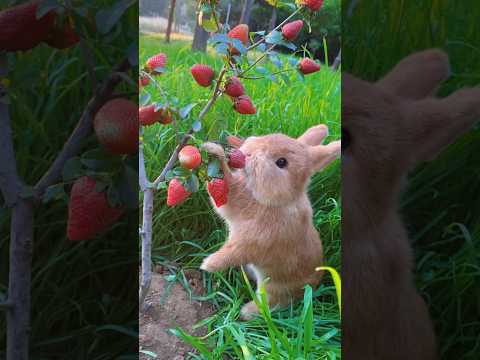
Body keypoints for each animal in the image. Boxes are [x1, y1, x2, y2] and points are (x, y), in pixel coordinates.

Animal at [199, 125, 342, 320]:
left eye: (281, 162)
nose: (248, 152)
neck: (278, 202)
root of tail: (312, 286)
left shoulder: (253, 240)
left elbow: (230, 252)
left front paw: (208, 265)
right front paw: (211, 149)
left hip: (272, 287)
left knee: (271, 305)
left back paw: (246, 312)